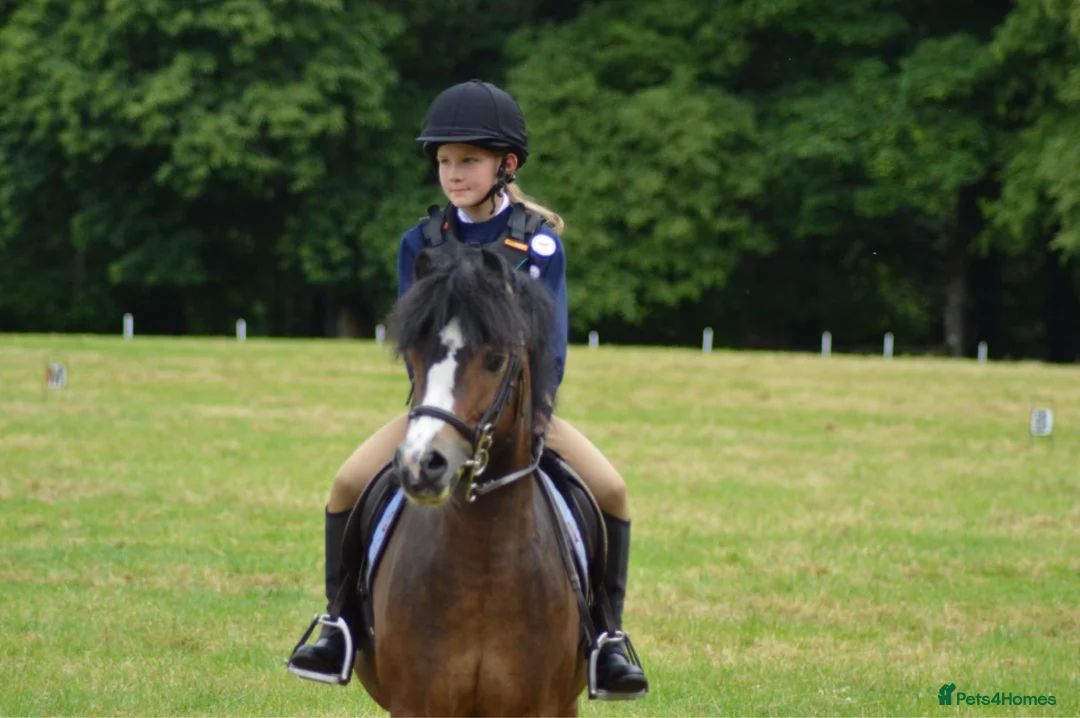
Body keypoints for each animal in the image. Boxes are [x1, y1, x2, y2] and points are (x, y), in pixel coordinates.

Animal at [353, 245, 589, 716]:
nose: (421, 464)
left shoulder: (537, 706)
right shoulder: (414, 704)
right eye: (416, 352)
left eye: (495, 359)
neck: (483, 558)